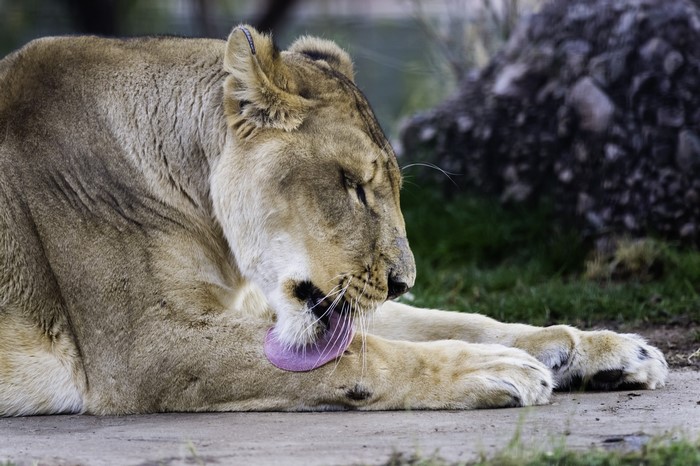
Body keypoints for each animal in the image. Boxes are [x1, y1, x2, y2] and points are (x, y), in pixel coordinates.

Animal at [0, 25, 667, 416]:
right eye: (352, 185)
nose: (402, 281)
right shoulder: (145, 346)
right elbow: (366, 356)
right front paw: (493, 368)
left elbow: (457, 320)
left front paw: (608, 349)